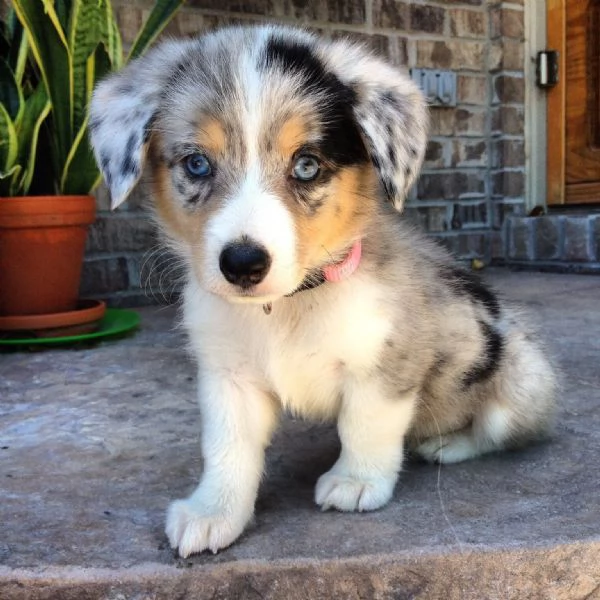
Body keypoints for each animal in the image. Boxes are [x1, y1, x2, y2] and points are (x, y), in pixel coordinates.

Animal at [90, 25, 556, 556]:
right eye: (197, 164)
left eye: (307, 165)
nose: (243, 264)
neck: (287, 307)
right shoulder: (228, 378)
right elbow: (228, 449)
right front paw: (213, 513)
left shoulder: (384, 366)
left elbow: (365, 426)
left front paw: (356, 481)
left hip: (520, 382)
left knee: (495, 432)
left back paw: (447, 444)